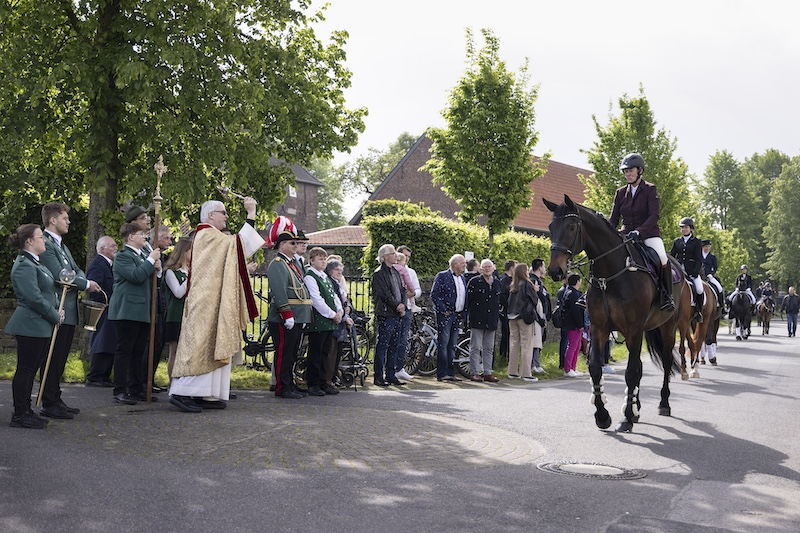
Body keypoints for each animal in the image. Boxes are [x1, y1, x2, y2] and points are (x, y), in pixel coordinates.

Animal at [544, 195, 688, 433]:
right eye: (550, 227)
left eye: (572, 227)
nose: (555, 271)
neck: (610, 274)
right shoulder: (599, 328)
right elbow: (596, 368)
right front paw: (603, 416)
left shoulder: (634, 330)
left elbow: (630, 372)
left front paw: (626, 418)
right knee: (639, 366)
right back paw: (637, 407)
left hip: (667, 327)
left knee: (666, 362)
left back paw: (663, 404)